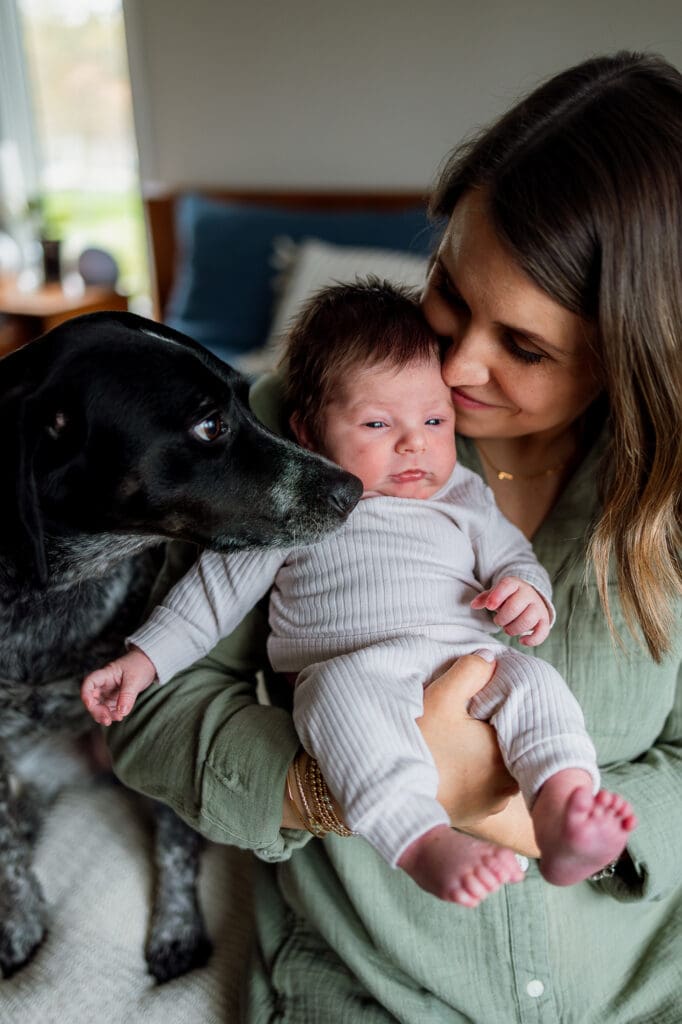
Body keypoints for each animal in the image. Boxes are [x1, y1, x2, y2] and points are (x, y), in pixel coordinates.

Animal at [0, 309, 360, 974]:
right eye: (210, 425)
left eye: (248, 400)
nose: (353, 487)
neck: (50, 596)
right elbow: (6, 846)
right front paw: (18, 922)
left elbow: (175, 840)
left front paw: (177, 926)